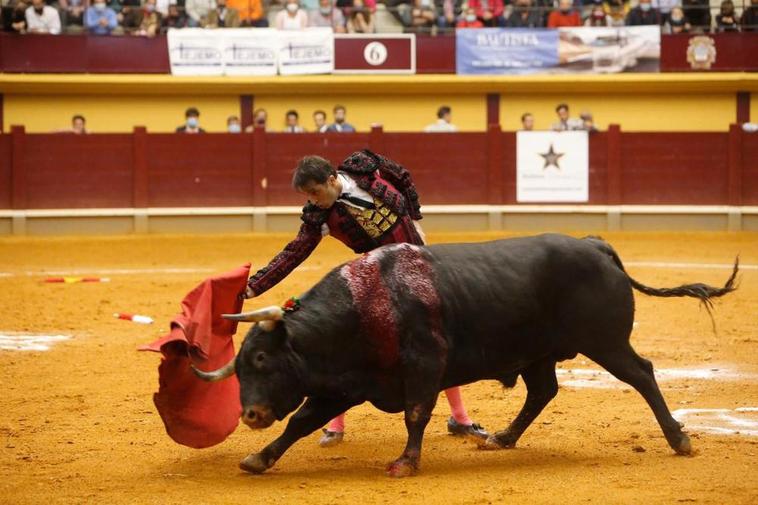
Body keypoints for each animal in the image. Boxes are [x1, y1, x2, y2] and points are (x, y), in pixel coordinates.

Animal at [193, 233, 740, 476]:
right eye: (240, 365)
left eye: (261, 362)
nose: (250, 414)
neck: (365, 305)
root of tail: (595, 244)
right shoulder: (344, 384)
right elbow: (301, 422)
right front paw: (258, 458)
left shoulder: (423, 366)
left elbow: (416, 413)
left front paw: (405, 463)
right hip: (539, 353)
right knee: (543, 391)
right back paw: (502, 438)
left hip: (605, 342)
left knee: (642, 374)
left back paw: (679, 440)